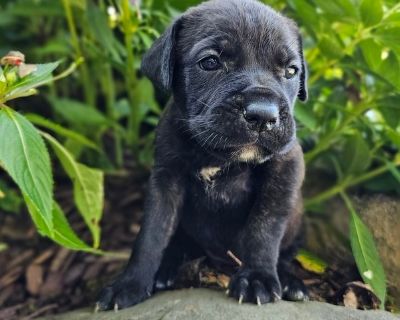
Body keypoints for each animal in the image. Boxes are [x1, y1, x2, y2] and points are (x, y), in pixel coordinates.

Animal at [97, 0, 310, 310]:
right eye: (210, 63)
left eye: (291, 71)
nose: (263, 115)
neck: (218, 155)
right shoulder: (166, 182)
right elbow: (152, 234)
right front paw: (130, 283)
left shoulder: (284, 172)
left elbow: (264, 228)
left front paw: (257, 277)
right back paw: (167, 268)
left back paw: (290, 282)